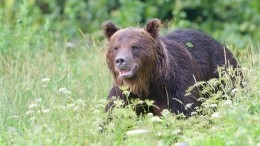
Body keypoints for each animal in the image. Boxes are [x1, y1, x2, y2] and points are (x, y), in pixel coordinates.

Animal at [102, 18, 239, 116]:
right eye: (116, 47)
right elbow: (112, 114)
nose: (120, 60)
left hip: (222, 73)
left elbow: (185, 110)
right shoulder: (124, 93)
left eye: (135, 46)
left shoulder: (177, 84)